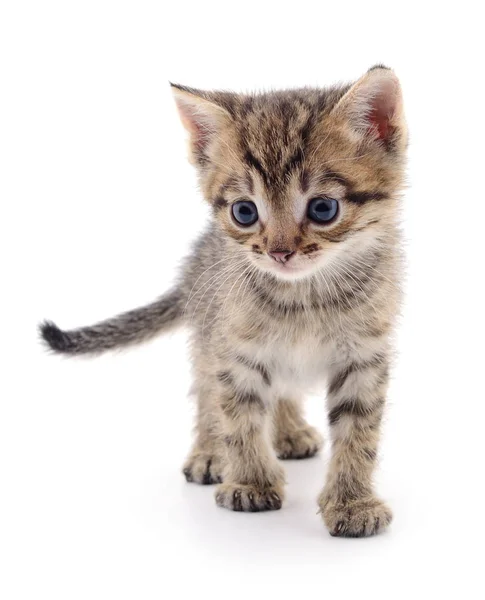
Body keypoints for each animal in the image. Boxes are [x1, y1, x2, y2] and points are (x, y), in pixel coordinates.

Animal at [40, 67, 404, 540]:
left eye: (323, 208)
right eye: (244, 212)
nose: (279, 252)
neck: (304, 297)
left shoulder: (364, 355)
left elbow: (359, 431)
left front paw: (352, 500)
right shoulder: (234, 348)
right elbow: (239, 415)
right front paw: (250, 481)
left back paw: (289, 432)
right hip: (207, 333)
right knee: (206, 392)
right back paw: (211, 452)